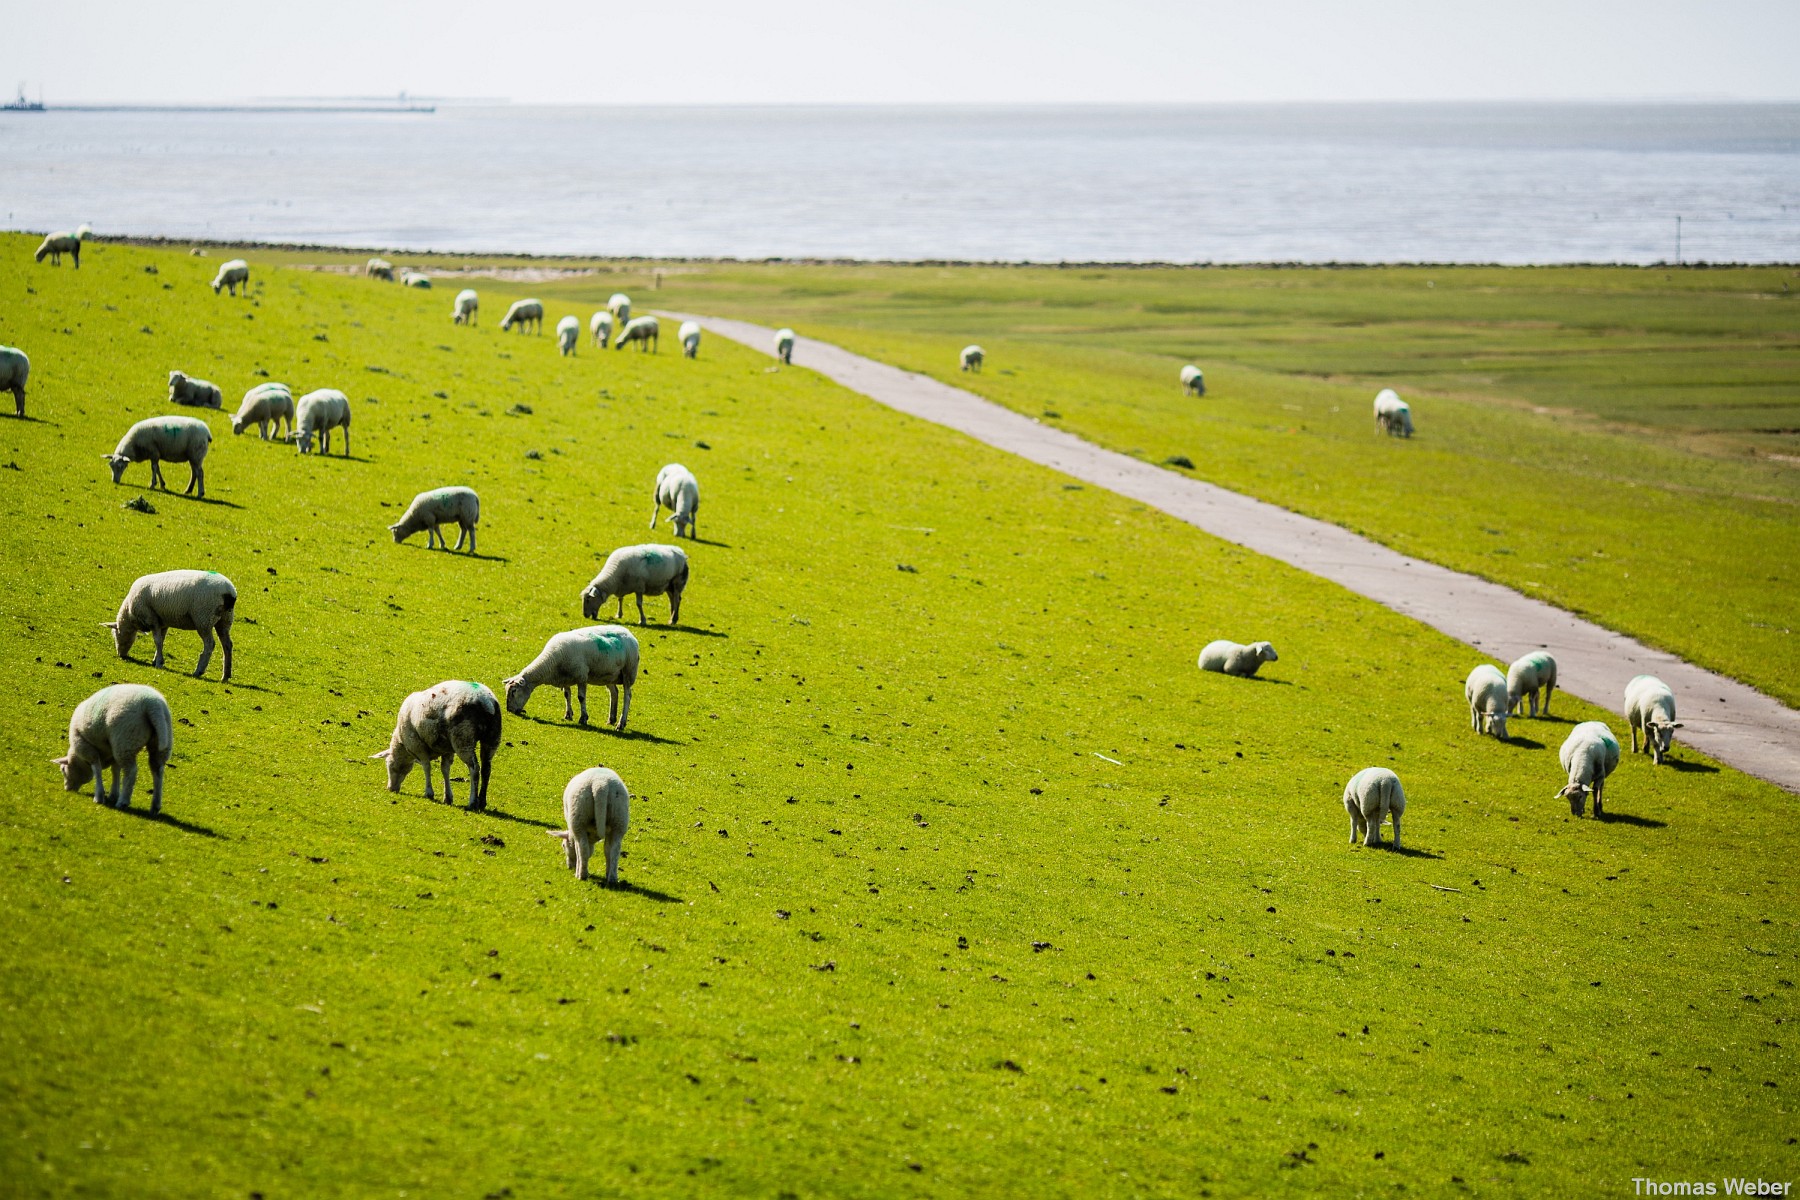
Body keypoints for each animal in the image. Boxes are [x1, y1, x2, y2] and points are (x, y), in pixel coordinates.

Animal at [53, 683, 172, 816]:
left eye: (63, 769)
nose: (67, 789)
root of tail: (153, 705)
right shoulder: (112, 751)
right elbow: (115, 770)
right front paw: (113, 794)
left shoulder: (86, 747)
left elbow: (97, 769)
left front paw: (99, 797)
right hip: (160, 739)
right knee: (157, 771)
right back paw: (155, 807)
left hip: (125, 740)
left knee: (131, 771)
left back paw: (123, 802)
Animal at [104, 568, 237, 680]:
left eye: (116, 635)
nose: (121, 655)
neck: (129, 613)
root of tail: (229, 592)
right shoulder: (162, 622)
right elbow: (161, 641)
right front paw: (156, 659)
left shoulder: (152, 619)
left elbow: (157, 641)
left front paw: (159, 663)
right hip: (225, 620)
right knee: (227, 645)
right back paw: (226, 675)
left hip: (204, 618)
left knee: (210, 644)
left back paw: (198, 671)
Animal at [370, 680, 500, 813]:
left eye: (389, 765)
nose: (391, 789)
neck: (403, 746)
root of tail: (486, 702)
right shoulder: (447, 749)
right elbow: (445, 769)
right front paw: (447, 797)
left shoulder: (418, 745)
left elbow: (427, 767)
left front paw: (429, 793)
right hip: (492, 738)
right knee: (486, 769)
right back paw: (482, 802)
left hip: (463, 738)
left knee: (474, 768)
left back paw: (473, 802)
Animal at [504, 626, 644, 726]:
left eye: (514, 691)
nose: (509, 710)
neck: (551, 663)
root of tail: (630, 633)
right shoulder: (565, 678)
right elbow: (567, 695)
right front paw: (568, 715)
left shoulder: (581, 676)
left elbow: (581, 697)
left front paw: (583, 718)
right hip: (609, 675)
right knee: (614, 693)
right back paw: (611, 719)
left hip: (628, 672)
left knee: (627, 697)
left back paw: (621, 723)